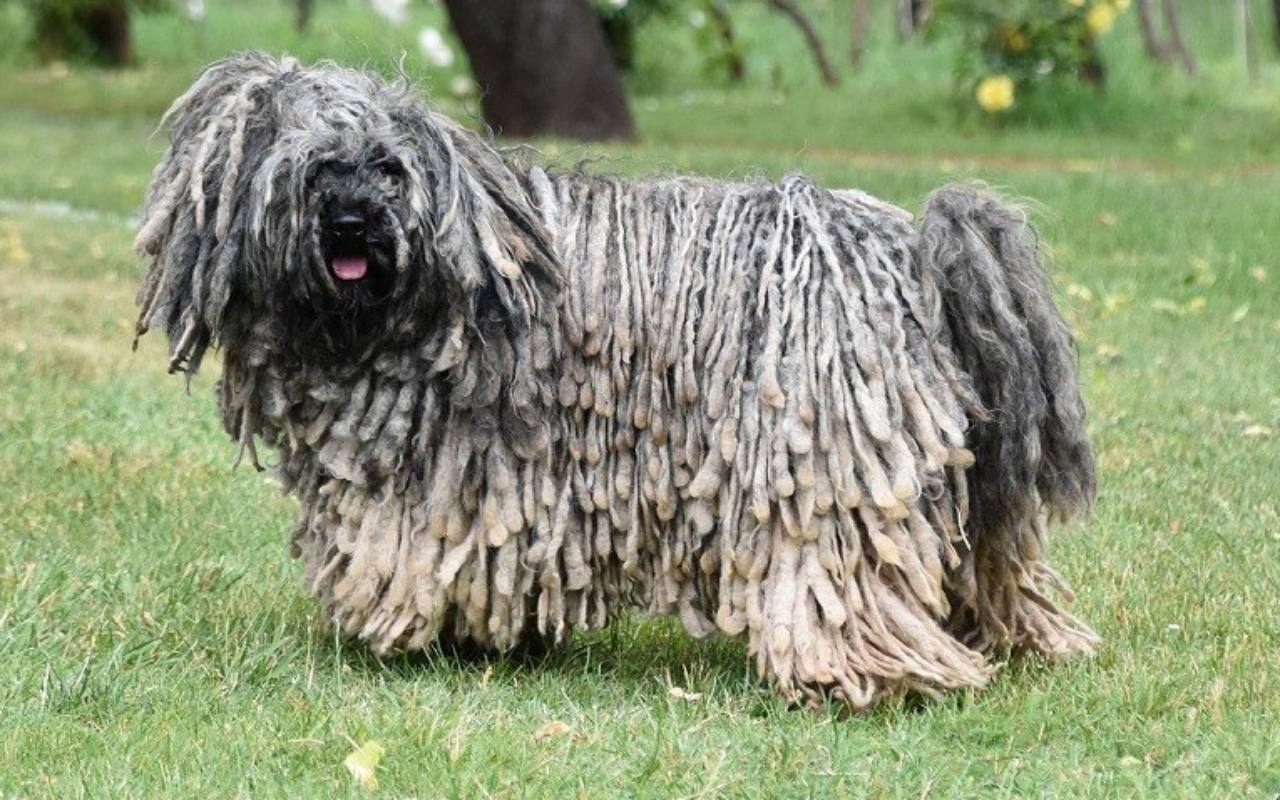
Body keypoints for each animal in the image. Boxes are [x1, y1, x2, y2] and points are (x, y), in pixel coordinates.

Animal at [135, 53, 1095, 706]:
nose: (352, 223)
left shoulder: (451, 474)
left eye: (388, 169)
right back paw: (1014, 641)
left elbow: (426, 553)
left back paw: (858, 674)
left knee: (836, 569)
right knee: (983, 558)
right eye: (315, 167)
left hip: (828, 455)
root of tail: (912, 249)